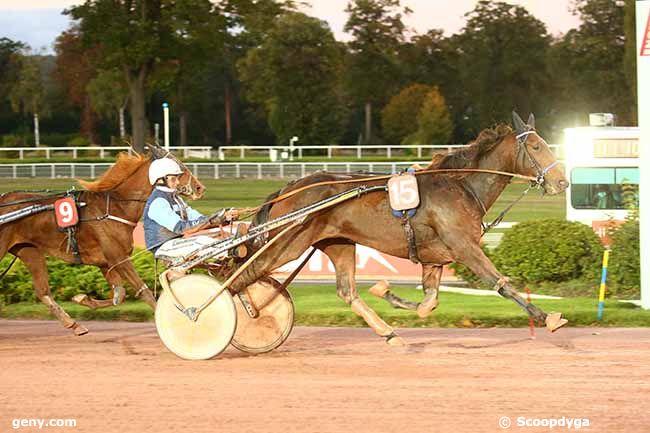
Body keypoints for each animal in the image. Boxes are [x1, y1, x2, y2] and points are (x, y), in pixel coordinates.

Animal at [0, 145, 202, 334]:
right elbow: (142, 290)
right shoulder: (119, 257)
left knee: (42, 292)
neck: (115, 208)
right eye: (180, 168)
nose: (200, 188)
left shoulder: (106, 263)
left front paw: (83, 299)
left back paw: (74, 324)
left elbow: (119, 295)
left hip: (30, 251)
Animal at [237, 114, 568, 344]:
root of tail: (288, 189)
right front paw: (549, 317)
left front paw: (385, 291)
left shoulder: (435, 258)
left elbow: (428, 304)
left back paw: (389, 333)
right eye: (537, 146)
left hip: (338, 243)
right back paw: (246, 314)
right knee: (243, 275)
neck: (460, 185)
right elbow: (499, 282)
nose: (562, 182)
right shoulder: (464, 246)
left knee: (347, 291)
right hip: (287, 244)